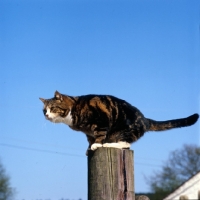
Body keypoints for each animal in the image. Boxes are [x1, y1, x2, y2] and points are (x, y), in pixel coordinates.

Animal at [39, 90, 198, 153]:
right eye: (44, 110)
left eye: (52, 108)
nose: (46, 115)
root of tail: (145, 120)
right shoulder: (88, 132)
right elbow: (90, 139)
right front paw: (89, 148)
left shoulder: (101, 120)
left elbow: (99, 136)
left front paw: (96, 145)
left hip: (125, 130)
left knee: (125, 144)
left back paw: (107, 144)